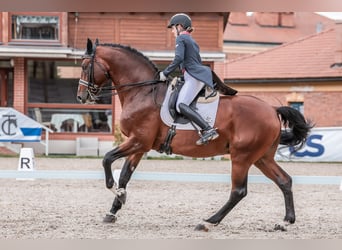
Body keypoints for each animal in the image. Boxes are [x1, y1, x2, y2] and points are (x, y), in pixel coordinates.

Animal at [77, 39, 312, 232]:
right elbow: (125, 175)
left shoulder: (138, 141)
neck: (142, 92)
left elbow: (107, 159)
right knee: (284, 181)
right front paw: (114, 208)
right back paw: (284, 222)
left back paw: (208, 221)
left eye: (85, 66)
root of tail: (272, 109)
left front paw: (113, 189)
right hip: (261, 157)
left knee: (238, 191)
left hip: (242, 157)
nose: (81, 97)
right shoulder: (140, 145)